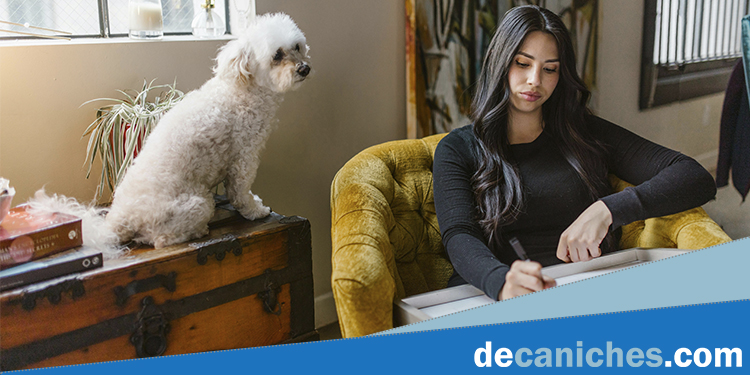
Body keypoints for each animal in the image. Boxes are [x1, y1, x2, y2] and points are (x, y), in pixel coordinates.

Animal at [104, 13, 310, 250]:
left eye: (297, 46)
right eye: (277, 55)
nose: (304, 68)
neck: (244, 88)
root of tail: (120, 219)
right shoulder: (244, 156)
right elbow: (240, 192)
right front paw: (256, 211)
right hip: (198, 204)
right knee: (161, 239)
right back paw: (198, 231)